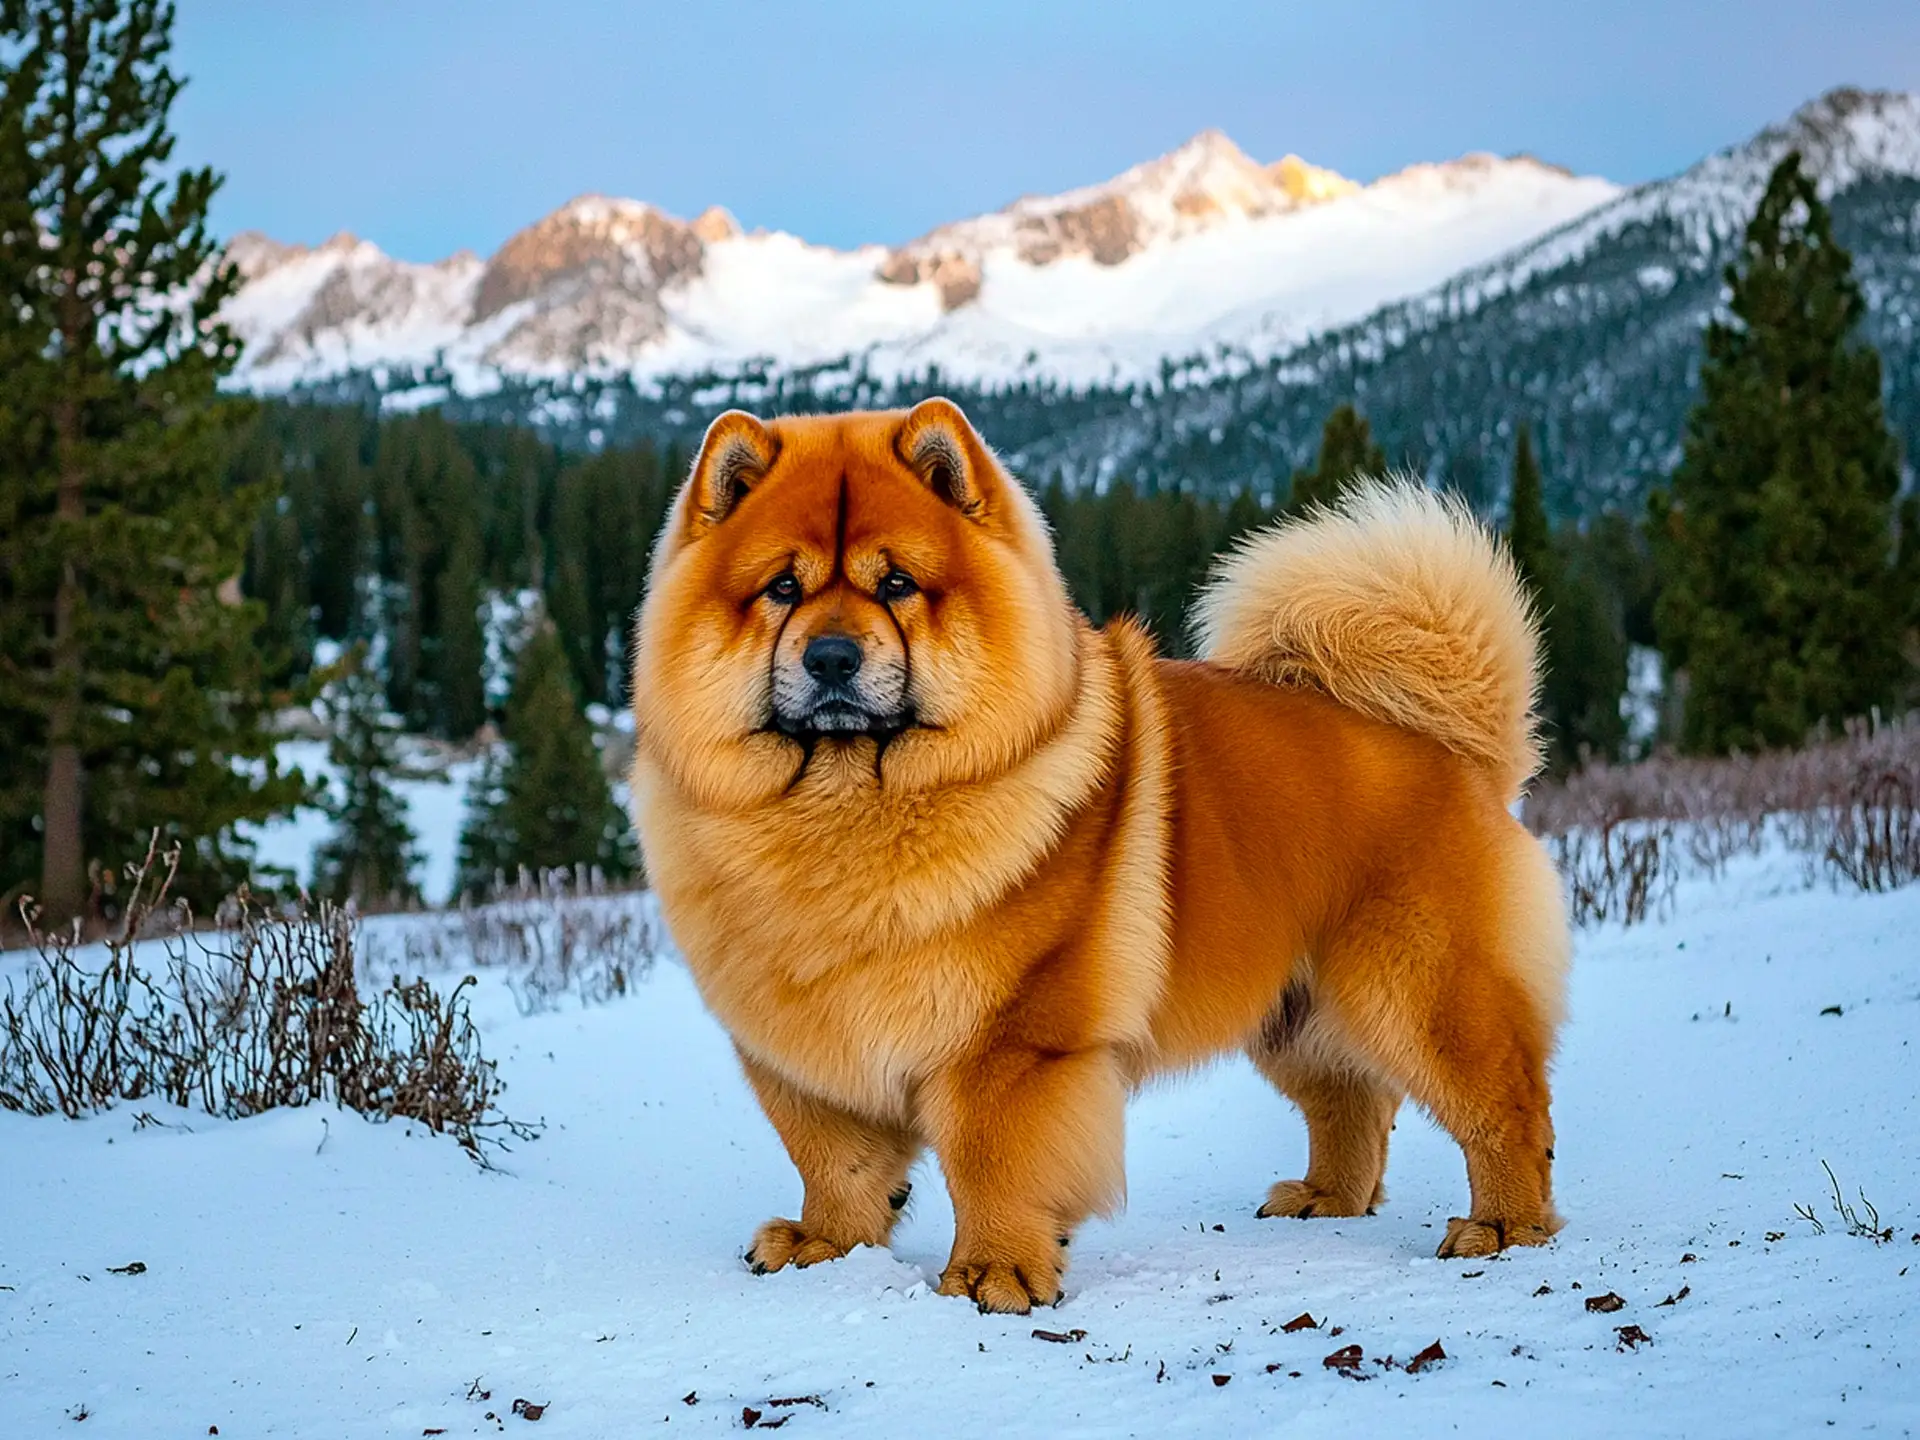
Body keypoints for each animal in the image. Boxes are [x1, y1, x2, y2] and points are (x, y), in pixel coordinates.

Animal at [637, 401, 1566, 1313]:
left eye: (897, 583)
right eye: (782, 589)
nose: (831, 655)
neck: (846, 813)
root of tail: (1453, 746)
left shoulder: (1011, 1043)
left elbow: (994, 1164)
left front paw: (997, 1274)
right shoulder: (800, 1049)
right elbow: (835, 1159)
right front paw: (823, 1244)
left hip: (1422, 992)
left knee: (1506, 1108)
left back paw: (1503, 1228)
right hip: (1296, 1010)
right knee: (1354, 1105)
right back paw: (1326, 1198)